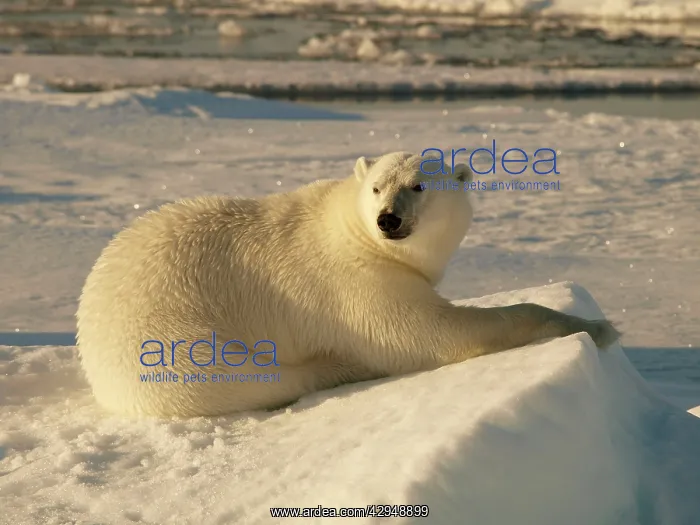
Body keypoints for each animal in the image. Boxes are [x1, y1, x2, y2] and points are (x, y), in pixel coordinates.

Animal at [76, 151, 620, 417]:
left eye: (418, 186)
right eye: (378, 186)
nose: (389, 220)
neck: (356, 230)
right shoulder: (355, 283)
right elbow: (431, 335)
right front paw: (599, 326)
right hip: (175, 340)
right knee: (251, 378)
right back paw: (337, 366)